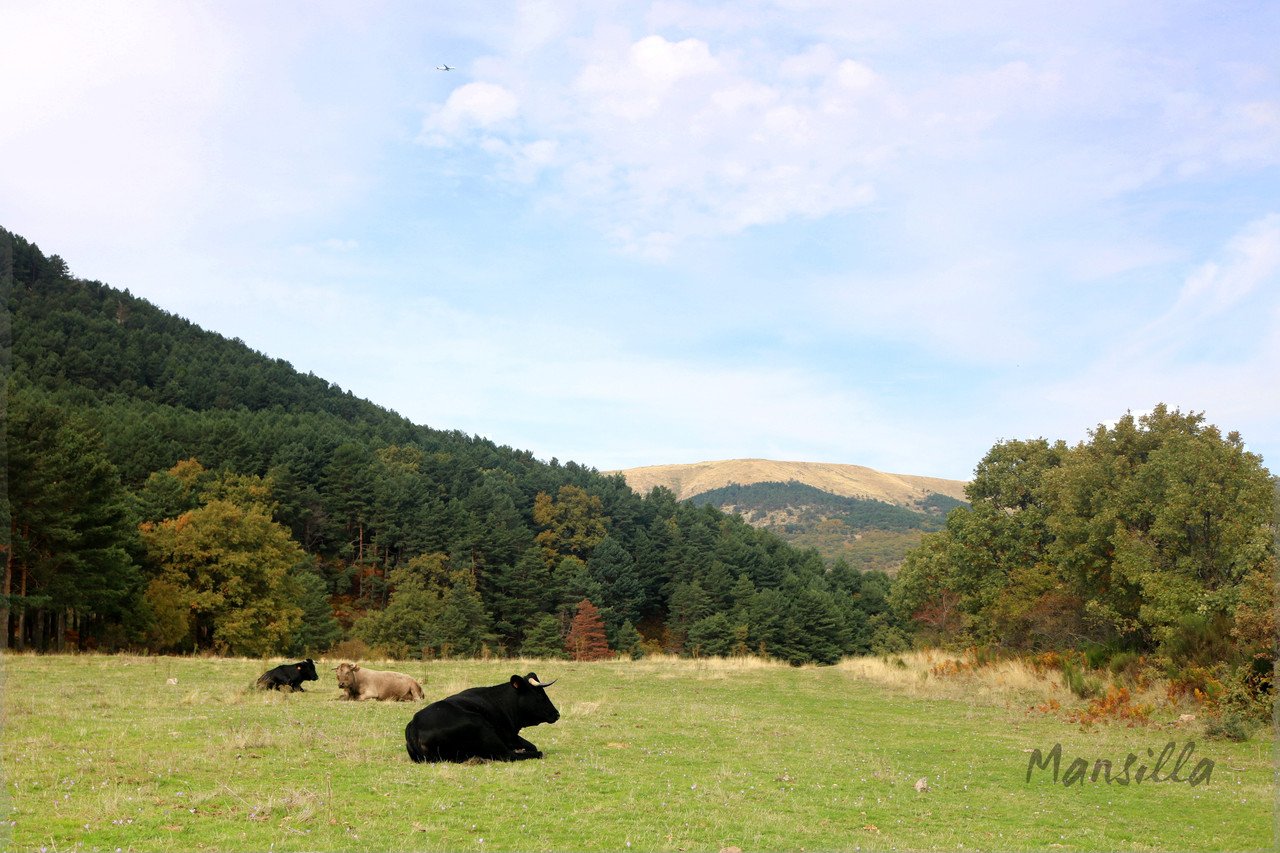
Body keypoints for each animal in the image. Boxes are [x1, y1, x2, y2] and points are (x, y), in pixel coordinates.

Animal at [404, 672, 560, 763]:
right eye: (539, 694)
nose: (557, 714)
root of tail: (414, 727)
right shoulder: (510, 737)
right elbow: (531, 746)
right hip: (483, 729)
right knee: (509, 755)